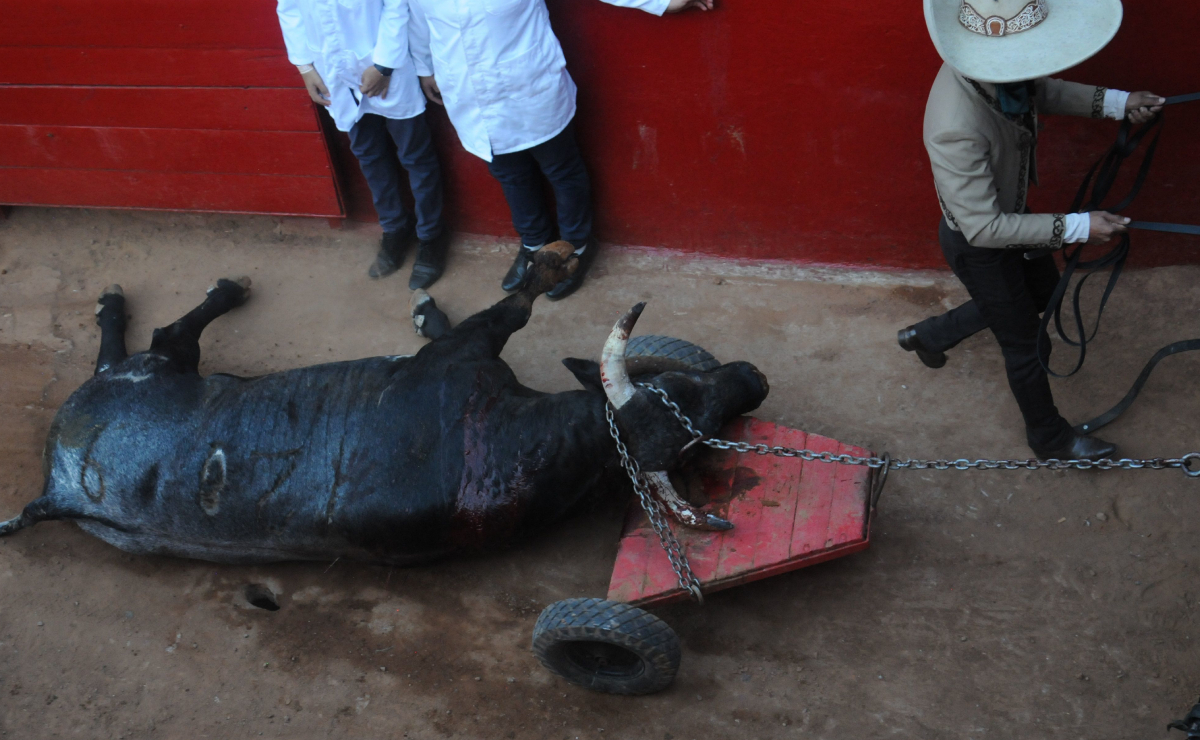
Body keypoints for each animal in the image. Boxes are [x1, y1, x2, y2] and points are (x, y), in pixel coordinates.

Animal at [0, 242, 768, 566]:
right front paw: (540, 261)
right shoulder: (467, 352)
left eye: (701, 434)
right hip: (153, 374)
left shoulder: (464, 357)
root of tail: (55, 488)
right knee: (162, 336)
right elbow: (512, 305)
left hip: (155, 375)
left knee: (159, 338)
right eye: (678, 392)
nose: (754, 378)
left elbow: (505, 307)